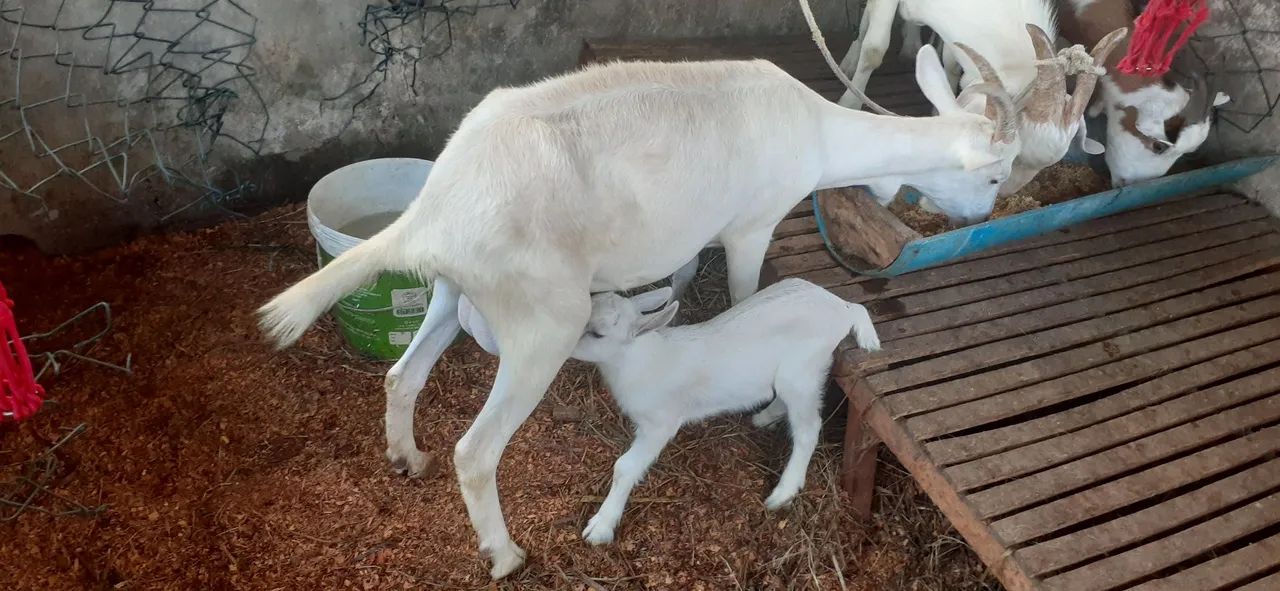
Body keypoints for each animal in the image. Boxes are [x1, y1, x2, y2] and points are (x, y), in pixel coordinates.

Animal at [569, 279, 880, 545]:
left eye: (598, 334)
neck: (639, 361)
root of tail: (842, 307)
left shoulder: (660, 422)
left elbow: (625, 466)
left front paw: (601, 527)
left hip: (801, 370)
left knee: (808, 428)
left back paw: (783, 493)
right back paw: (763, 418)